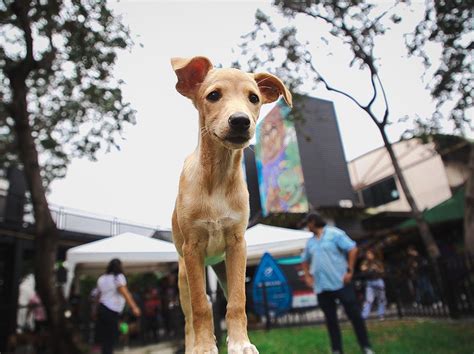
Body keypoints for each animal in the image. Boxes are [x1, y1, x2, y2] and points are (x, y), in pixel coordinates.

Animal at [168, 56, 290, 352]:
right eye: (213, 95)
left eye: (254, 98)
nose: (240, 121)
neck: (218, 179)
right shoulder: (192, 248)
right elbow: (201, 307)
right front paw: (203, 347)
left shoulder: (237, 245)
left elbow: (237, 302)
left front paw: (240, 343)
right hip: (184, 276)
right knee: (190, 316)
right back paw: (192, 344)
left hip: (223, 269)